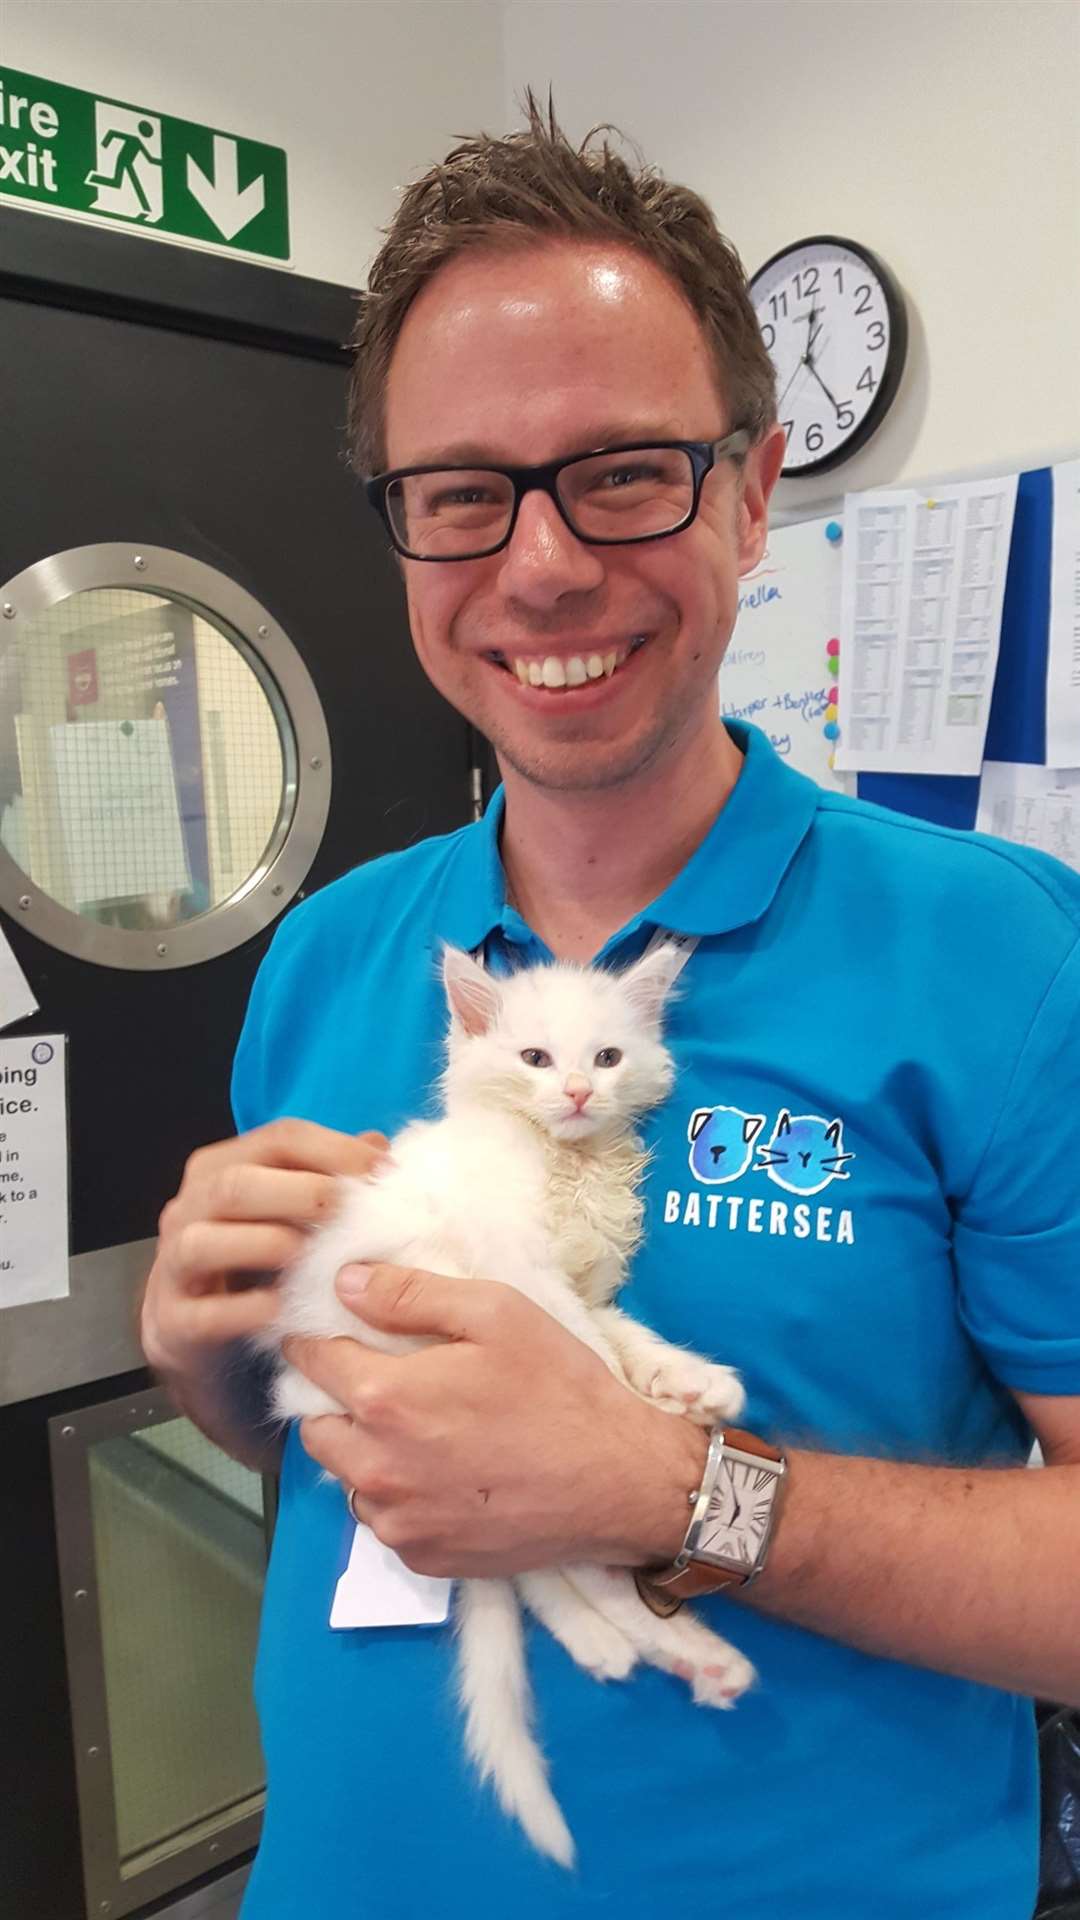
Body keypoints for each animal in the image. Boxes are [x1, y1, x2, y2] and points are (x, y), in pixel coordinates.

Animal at [261, 952, 749, 1866]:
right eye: (534, 1060)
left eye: (605, 1059)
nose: (579, 1094)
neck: (562, 1163)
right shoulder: (516, 1271)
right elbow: (584, 1347)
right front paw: (621, 1401)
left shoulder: (580, 1286)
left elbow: (618, 1330)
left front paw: (687, 1380)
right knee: (544, 1568)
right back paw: (642, 1647)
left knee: (549, 1568)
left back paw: (672, 1654)